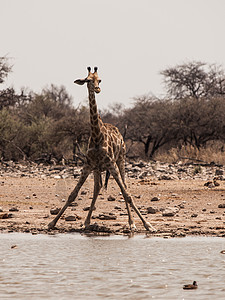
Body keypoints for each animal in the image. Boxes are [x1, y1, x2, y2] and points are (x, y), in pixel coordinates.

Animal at [47, 67, 156, 231]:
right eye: (88, 80)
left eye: (99, 80)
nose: (97, 89)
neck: (97, 137)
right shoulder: (88, 164)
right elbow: (73, 194)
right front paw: (52, 223)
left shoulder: (111, 164)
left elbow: (127, 194)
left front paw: (147, 225)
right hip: (98, 169)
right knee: (97, 188)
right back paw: (86, 222)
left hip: (121, 160)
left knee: (125, 186)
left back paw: (131, 222)